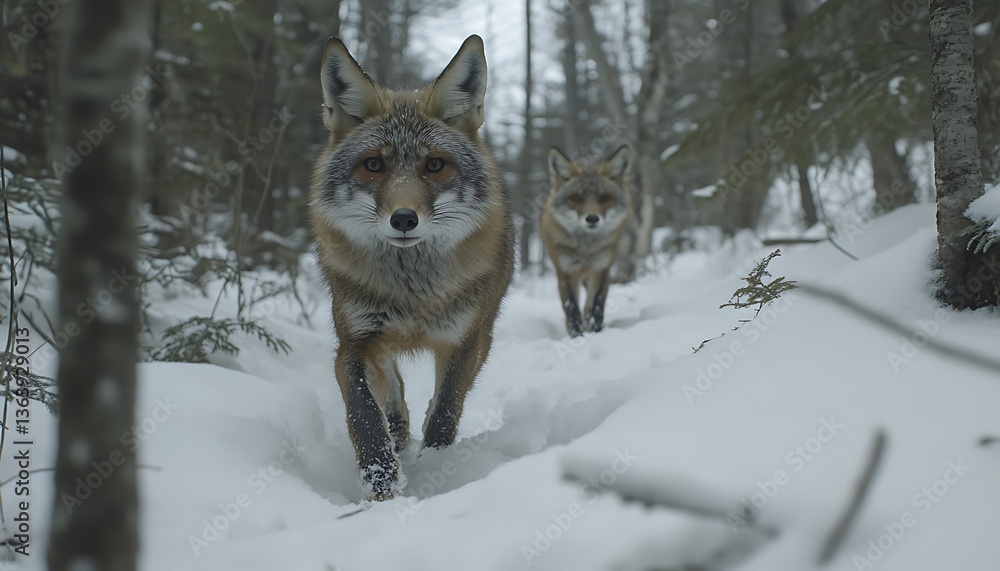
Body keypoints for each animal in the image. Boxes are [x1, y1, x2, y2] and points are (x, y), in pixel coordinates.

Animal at [308, 35, 514, 500]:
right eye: (374, 164)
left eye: (434, 165)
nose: (404, 219)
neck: (412, 295)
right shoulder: (354, 343)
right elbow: (365, 416)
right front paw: (381, 485)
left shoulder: (465, 340)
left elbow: (444, 412)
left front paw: (435, 467)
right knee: (394, 391)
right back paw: (400, 435)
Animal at [540, 145, 633, 338]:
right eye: (576, 198)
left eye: (604, 198)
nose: (592, 219)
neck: (586, 250)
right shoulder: (566, 271)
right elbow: (571, 307)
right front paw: (576, 335)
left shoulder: (602, 269)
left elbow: (596, 304)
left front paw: (595, 330)